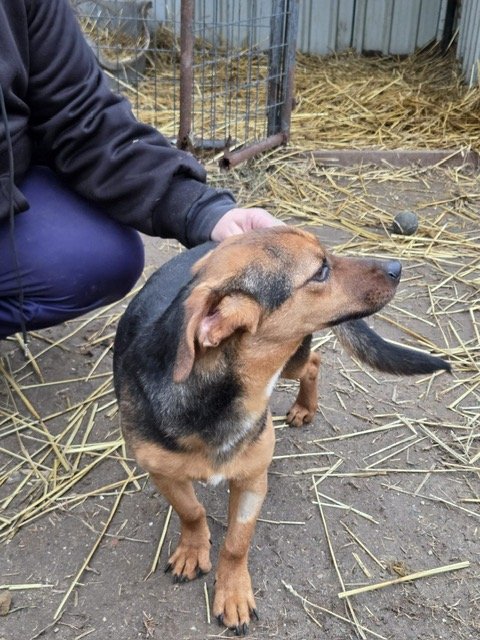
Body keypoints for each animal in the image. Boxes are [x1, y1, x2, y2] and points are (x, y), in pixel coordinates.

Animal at [113, 227, 449, 635]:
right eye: (321, 271)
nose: (397, 267)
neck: (217, 400)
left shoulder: (253, 480)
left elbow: (236, 544)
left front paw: (233, 592)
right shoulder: (162, 473)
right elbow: (191, 511)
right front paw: (194, 549)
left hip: (293, 359)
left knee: (314, 363)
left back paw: (305, 406)